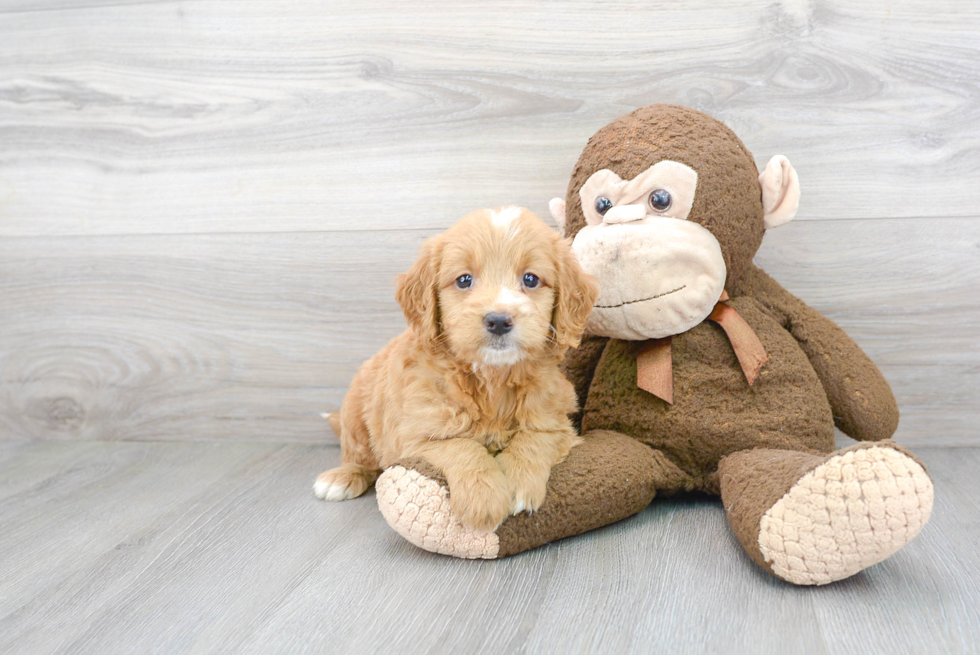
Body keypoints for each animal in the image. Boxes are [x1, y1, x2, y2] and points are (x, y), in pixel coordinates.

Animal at [318, 208, 600, 532]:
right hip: (355, 413)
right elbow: (460, 446)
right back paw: (341, 477)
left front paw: (518, 481)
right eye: (464, 280)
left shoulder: (557, 422)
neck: (492, 379)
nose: (498, 320)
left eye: (530, 279)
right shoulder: (414, 435)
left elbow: (535, 437)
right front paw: (483, 499)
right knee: (358, 455)